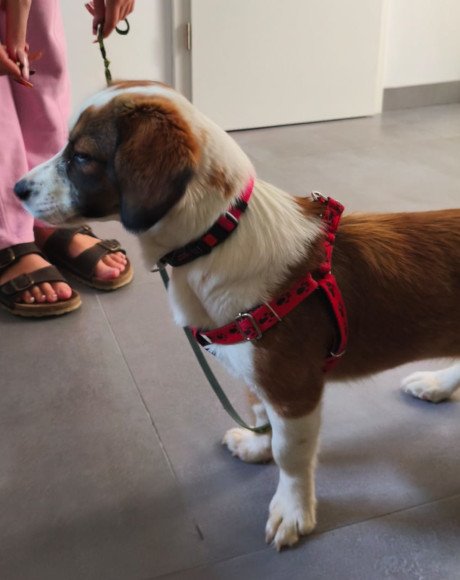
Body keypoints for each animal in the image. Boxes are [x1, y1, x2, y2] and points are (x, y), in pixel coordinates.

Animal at [15, 81, 460, 550]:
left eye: (82, 157)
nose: (17, 190)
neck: (215, 239)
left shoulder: (294, 391)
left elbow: (290, 455)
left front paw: (293, 509)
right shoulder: (258, 376)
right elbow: (261, 416)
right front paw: (257, 446)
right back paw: (437, 385)